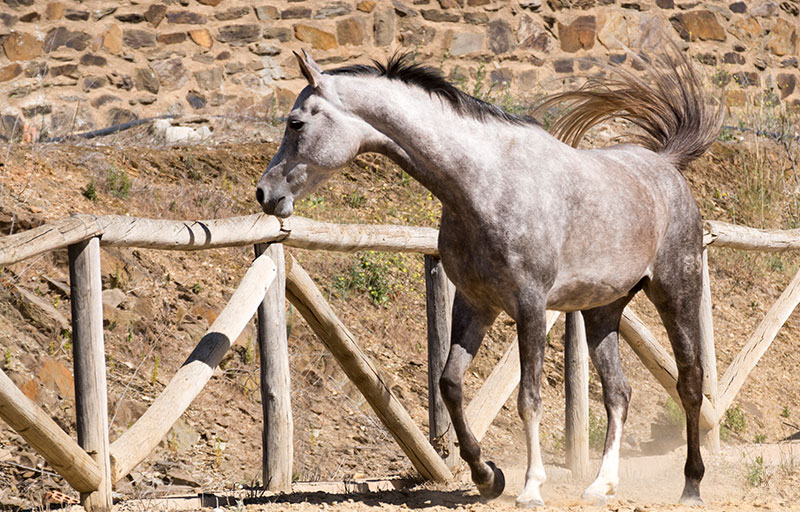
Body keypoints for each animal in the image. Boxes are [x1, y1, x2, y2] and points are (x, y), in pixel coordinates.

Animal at [258, 47, 724, 508]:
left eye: (296, 123)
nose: (265, 193)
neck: (484, 185)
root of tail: (665, 165)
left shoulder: (531, 307)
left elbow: (529, 399)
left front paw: (531, 488)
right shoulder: (475, 302)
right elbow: (450, 384)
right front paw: (487, 477)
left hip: (675, 294)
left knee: (690, 384)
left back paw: (692, 485)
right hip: (602, 312)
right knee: (618, 393)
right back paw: (600, 486)